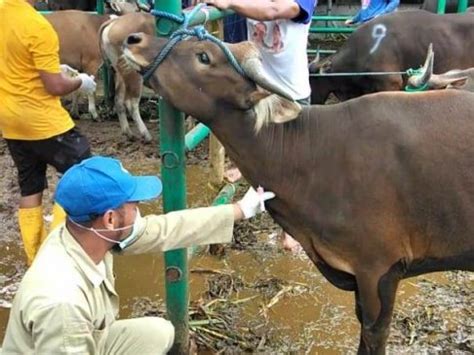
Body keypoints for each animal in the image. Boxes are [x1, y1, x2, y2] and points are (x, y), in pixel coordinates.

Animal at [99, 13, 155, 142]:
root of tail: (115, 21)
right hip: (133, 74)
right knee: (130, 103)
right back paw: (146, 135)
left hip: (121, 72)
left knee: (119, 100)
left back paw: (128, 133)